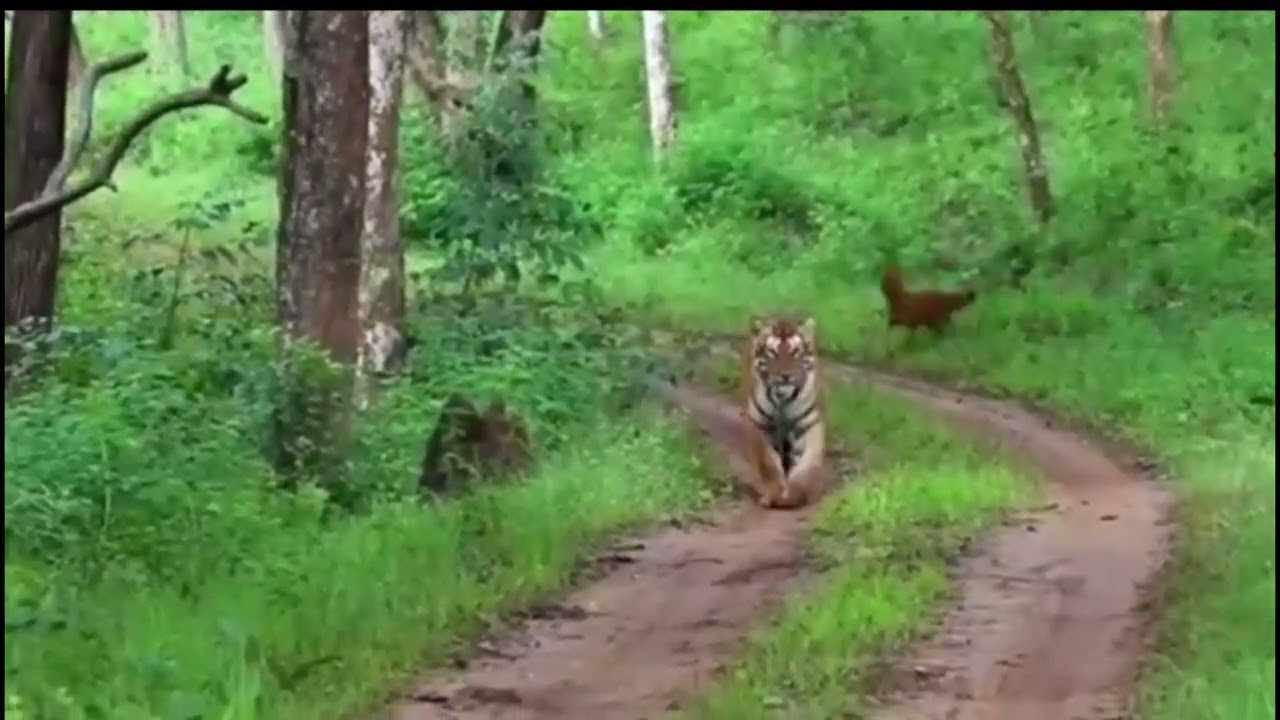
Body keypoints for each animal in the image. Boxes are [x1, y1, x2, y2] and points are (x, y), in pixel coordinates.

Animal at [741, 315, 826, 509]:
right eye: (773, 354)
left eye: (796, 353)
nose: (786, 376)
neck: (783, 400)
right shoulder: (761, 426)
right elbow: (769, 464)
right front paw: (775, 495)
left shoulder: (808, 425)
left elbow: (807, 464)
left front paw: (796, 494)